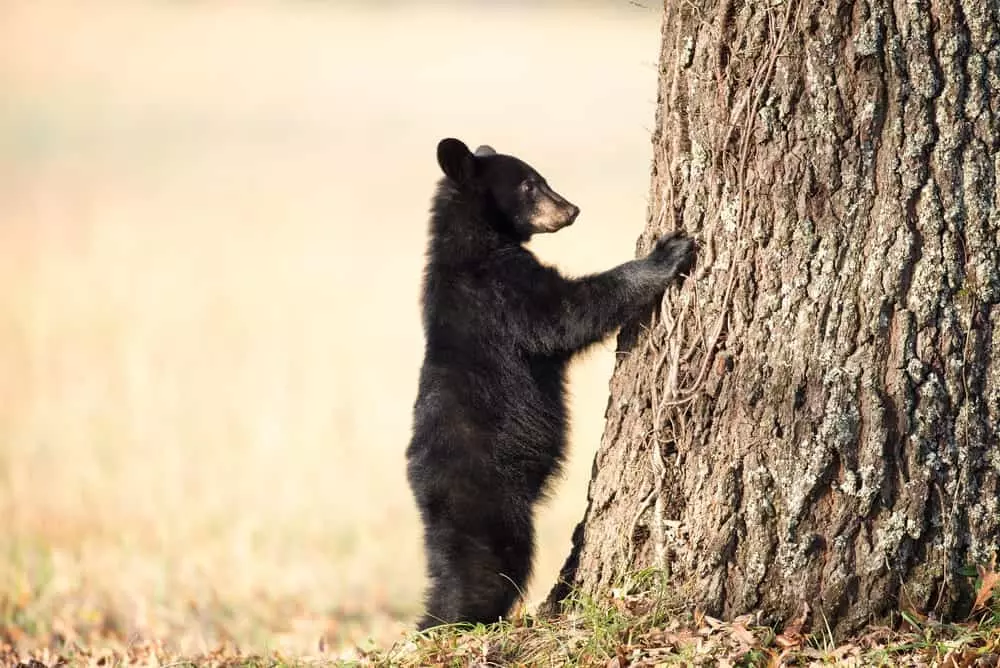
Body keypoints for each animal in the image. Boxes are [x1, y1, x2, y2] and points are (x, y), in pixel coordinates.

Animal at [405, 137, 696, 630]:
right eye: (529, 184)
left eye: (540, 178)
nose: (572, 209)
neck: (473, 245)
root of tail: (425, 492)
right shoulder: (502, 292)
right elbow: (566, 314)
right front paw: (667, 253)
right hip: (490, 499)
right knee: (487, 568)